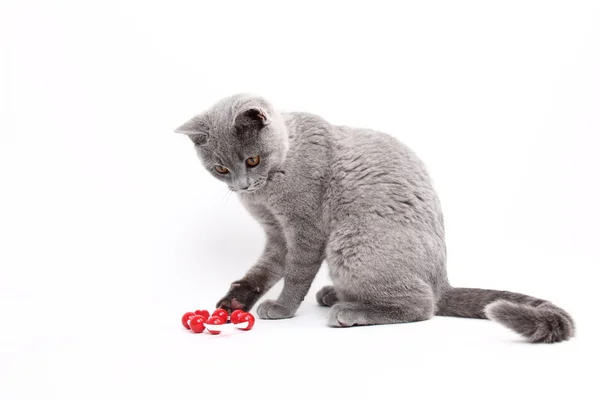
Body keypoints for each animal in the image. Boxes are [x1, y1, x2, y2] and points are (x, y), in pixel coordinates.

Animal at [176, 92, 576, 342]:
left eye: (252, 160)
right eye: (220, 169)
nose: (241, 185)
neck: (266, 194)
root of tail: (442, 281)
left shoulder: (305, 230)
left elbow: (295, 274)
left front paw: (283, 308)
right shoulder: (276, 233)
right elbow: (264, 269)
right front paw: (235, 301)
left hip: (351, 244)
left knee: (423, 306)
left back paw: (349, 311)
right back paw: (335, 295)